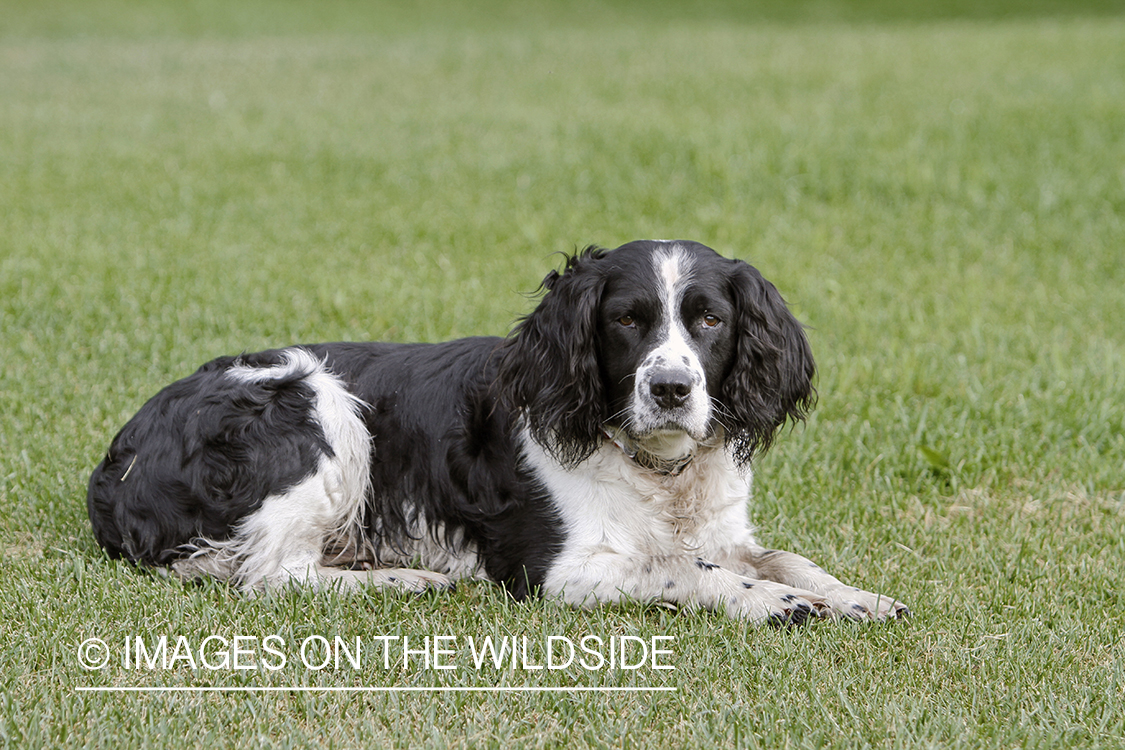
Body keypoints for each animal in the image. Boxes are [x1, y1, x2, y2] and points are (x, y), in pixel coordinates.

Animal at [90, 239, 913, 620]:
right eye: (625, 320)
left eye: (710, 319)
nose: (672, 389)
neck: (653, 467)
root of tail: (116, 466)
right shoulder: (556, 570)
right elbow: (685, 569)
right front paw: (774, 603)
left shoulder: (720, 528)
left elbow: (782, 557)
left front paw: (856, 597)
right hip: (318, 406)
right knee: (271, 575)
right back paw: (405, 578)